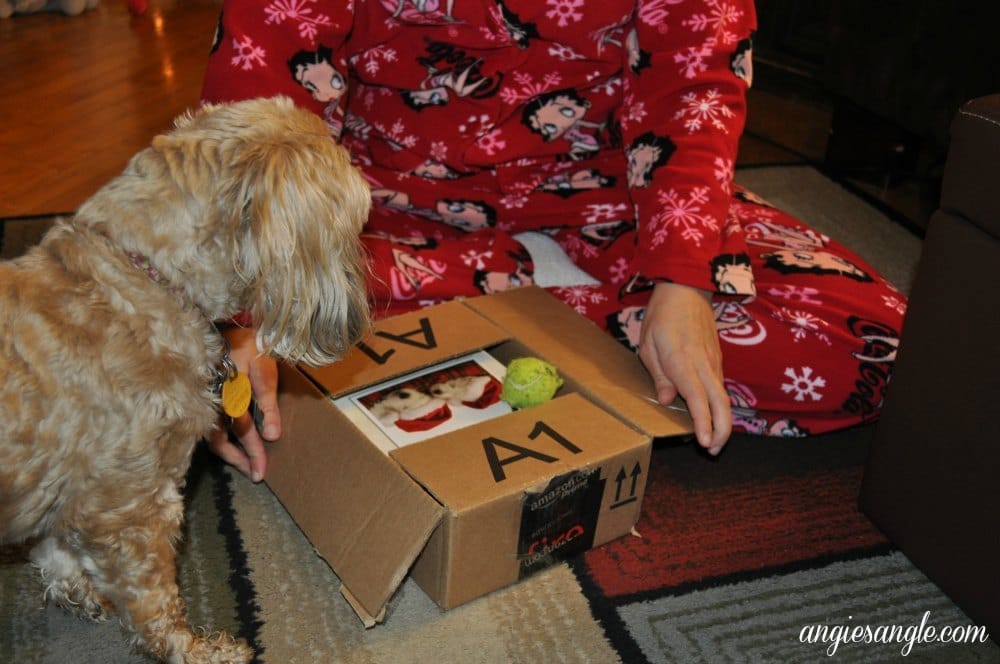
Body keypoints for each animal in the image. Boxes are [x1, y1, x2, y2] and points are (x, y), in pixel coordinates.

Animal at [0, 96, 372, 660]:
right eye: (355, 224)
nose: (357, 324)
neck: (144, 283)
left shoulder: (64, 485)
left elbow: (53, 542)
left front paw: (73, 587)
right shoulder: (130, 508)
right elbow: (155, 599)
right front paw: (194, 650)